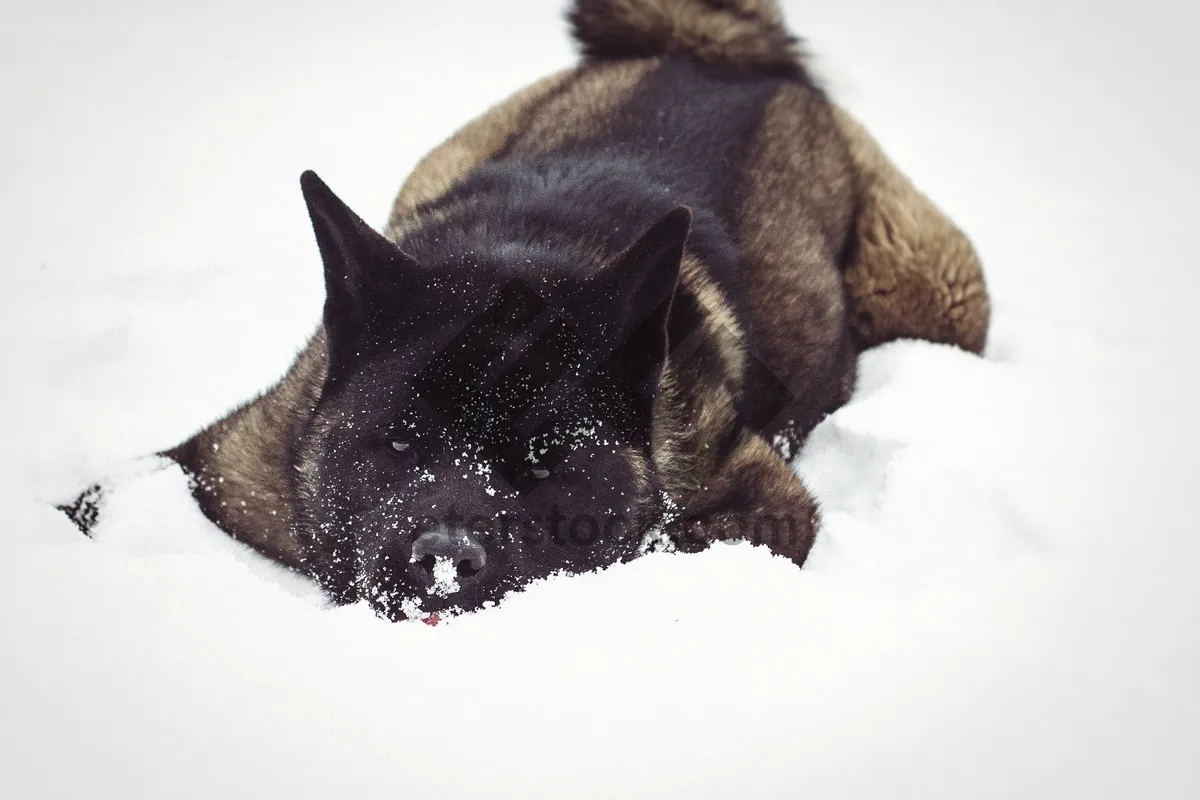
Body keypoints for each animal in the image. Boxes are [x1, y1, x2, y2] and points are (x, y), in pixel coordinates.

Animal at [60, 0, 988, 623]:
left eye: (546, 459)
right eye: (399, 440)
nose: (443, 564)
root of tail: (719, 60)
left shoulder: (764, 501)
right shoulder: (229, 464)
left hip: (934, 290)